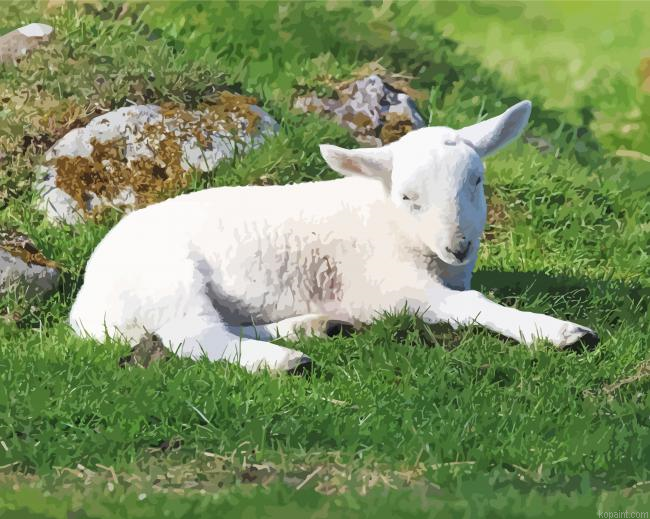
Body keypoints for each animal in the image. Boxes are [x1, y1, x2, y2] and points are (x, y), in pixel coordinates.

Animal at [69, 100, 599, 372]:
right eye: (408, 196)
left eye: (477, 180)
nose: (458, 245)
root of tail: (86, 307)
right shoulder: (393, 288)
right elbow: (472, 306)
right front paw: (559, 332)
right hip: (166, 279)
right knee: (196, 338)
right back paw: (283, 360)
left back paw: (314, 326)